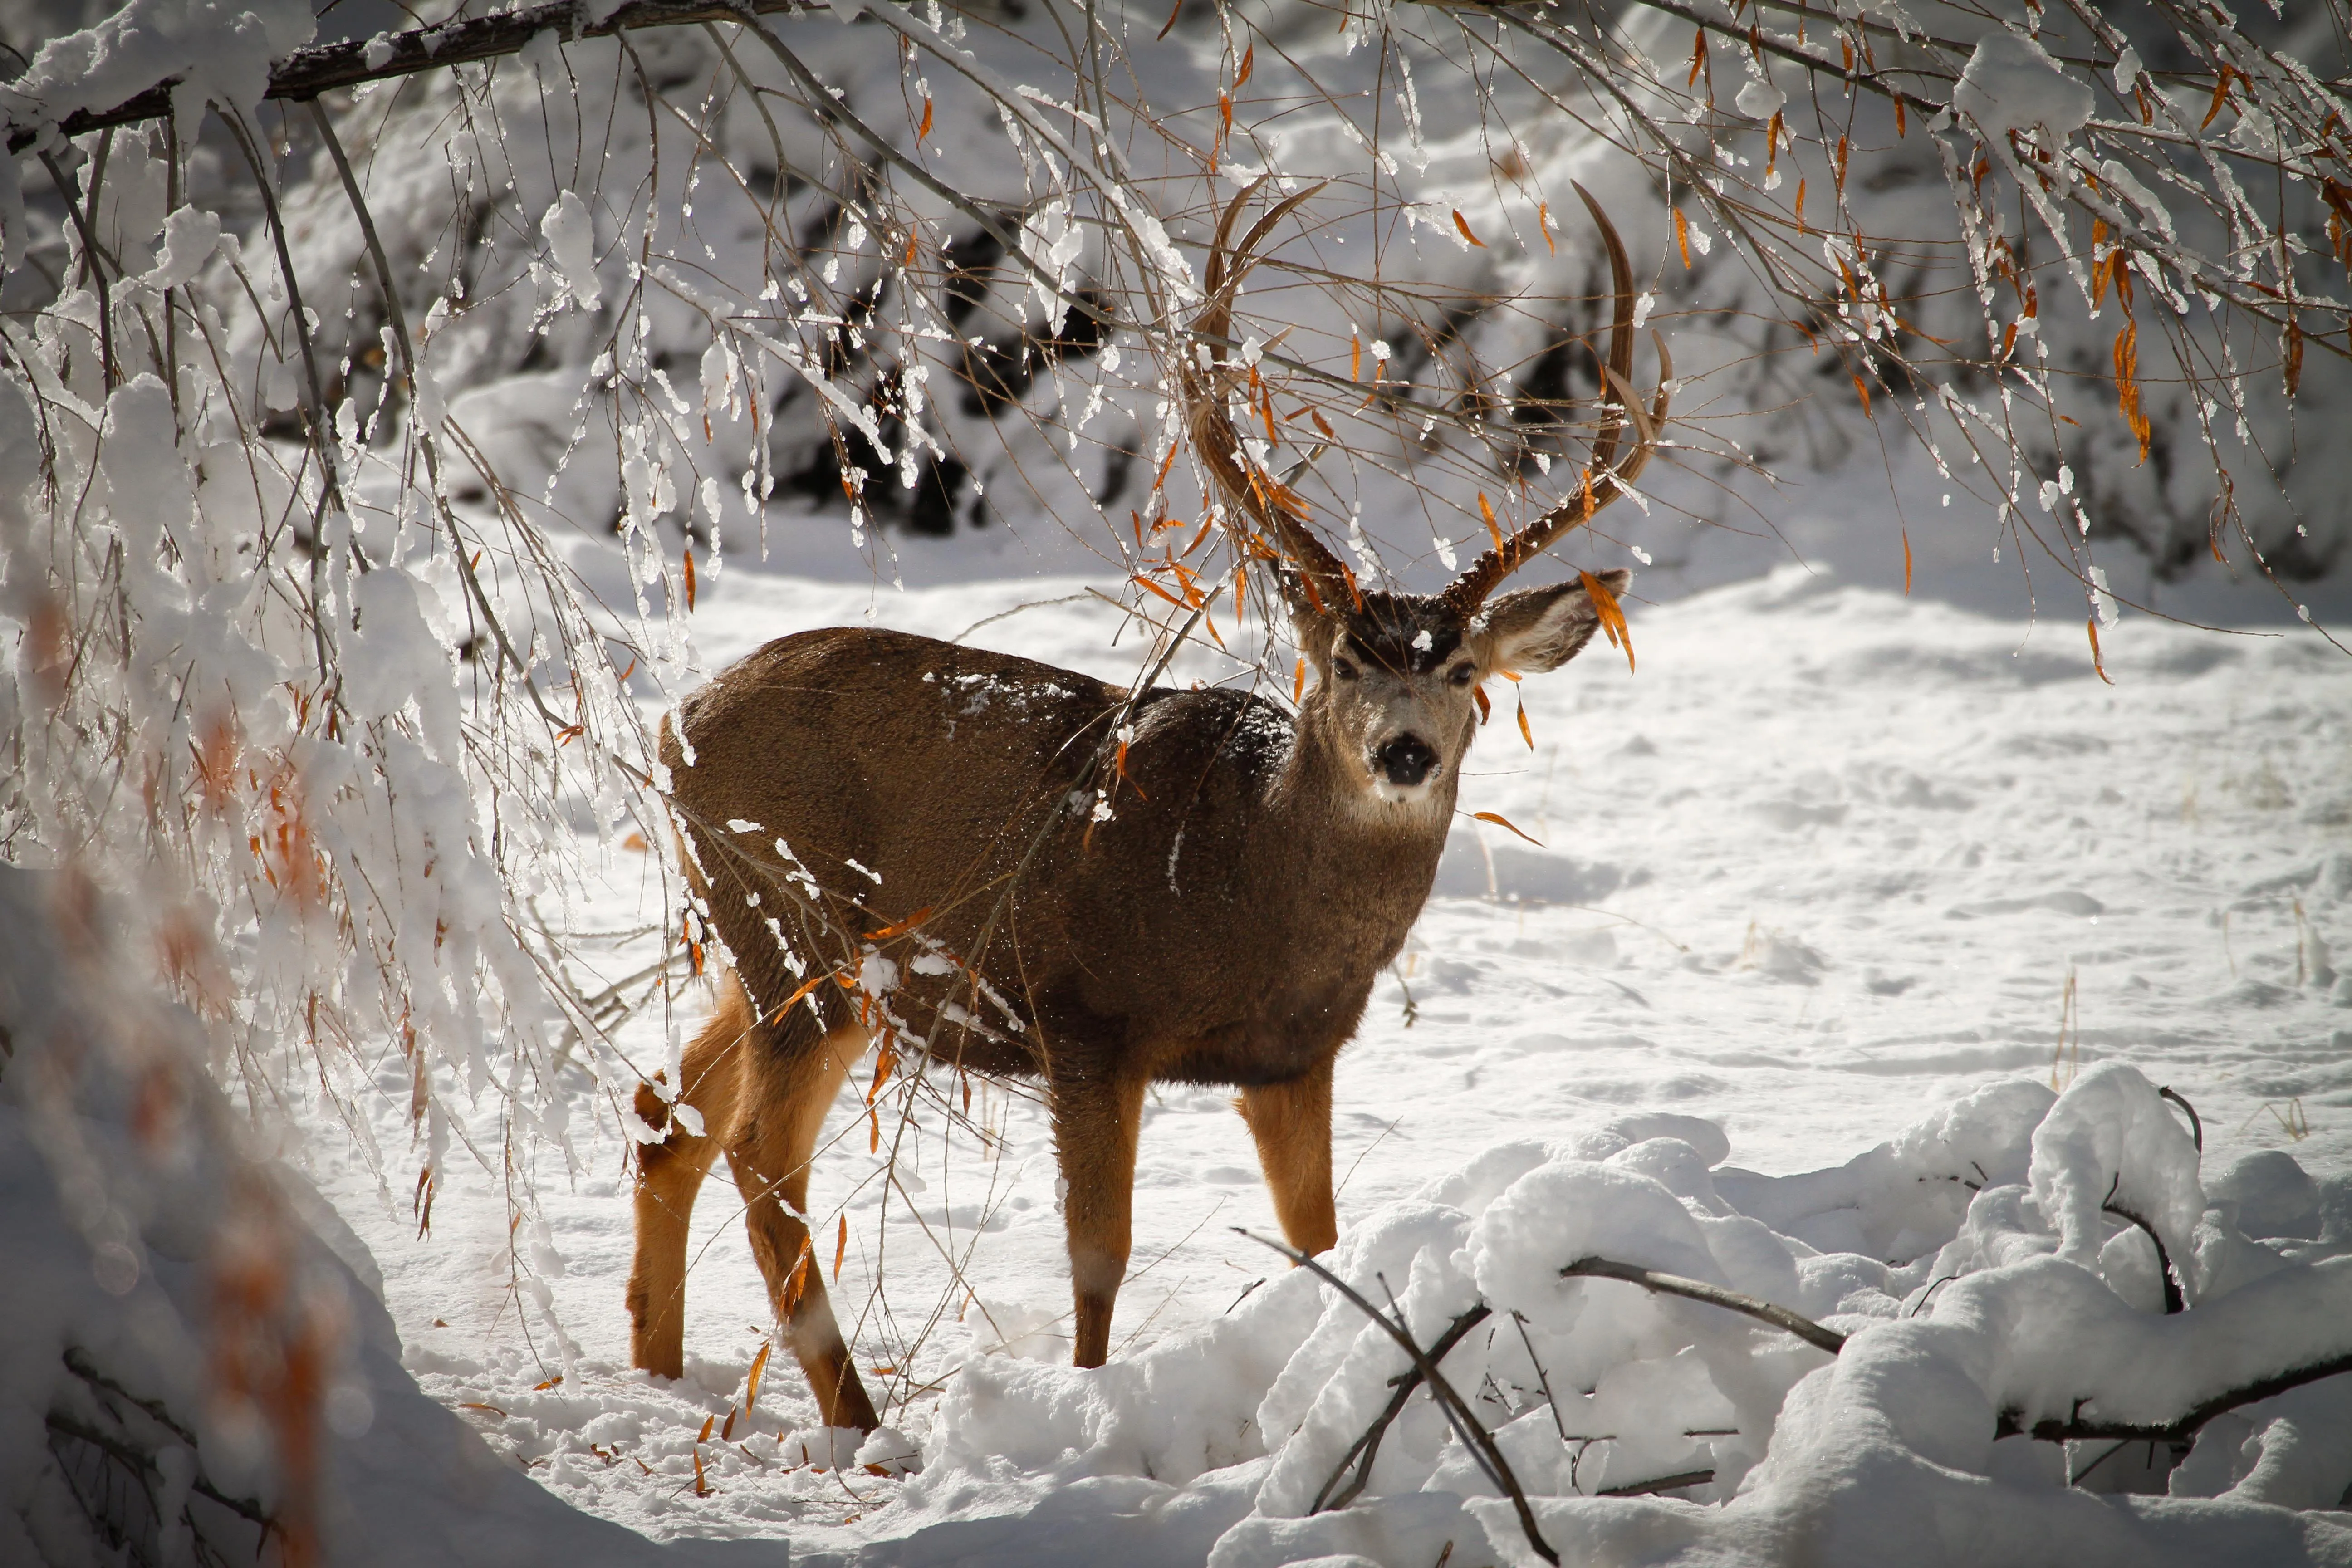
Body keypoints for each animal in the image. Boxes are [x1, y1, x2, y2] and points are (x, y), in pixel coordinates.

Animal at [621, 177, 1656, 1429]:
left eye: (1461, 671)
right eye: (1341, 660)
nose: (1403, 751)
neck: (1248, 887)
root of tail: (675, 724)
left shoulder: (1292, 1056)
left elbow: (1320, 1241)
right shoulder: (1084, 1015)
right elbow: (1097, 1254)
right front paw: (1089, 1407)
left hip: (757, 941)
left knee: (665, 1117)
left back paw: (659, 1371)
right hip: (804, 931)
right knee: (762, 1161)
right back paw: (860, 1419)